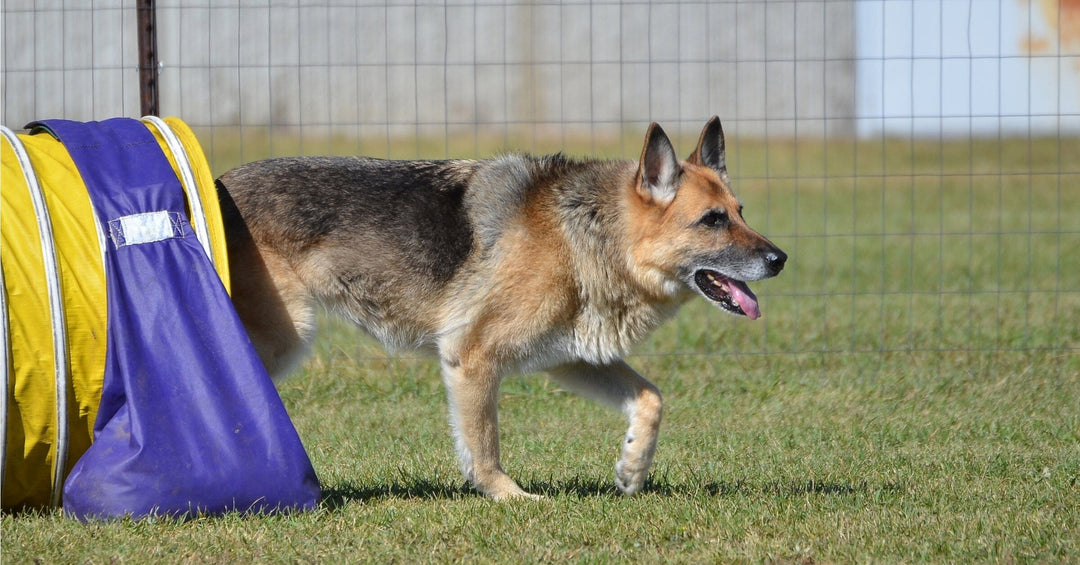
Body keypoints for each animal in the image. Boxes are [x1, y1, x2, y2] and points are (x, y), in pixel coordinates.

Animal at [214, 118, 786, 499]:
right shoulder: (472, 359)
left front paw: (632, 468)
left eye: (740, 212)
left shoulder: (570, 358)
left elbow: (651, 398)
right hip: (284, 335)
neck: (586, 234)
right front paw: (509, 498)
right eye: (712, 221)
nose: (779, 259)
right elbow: (484, 444)